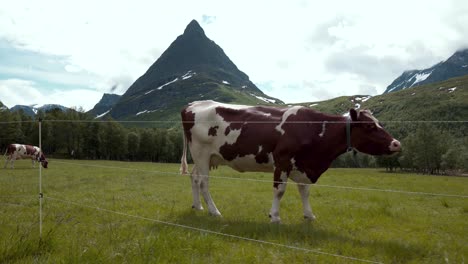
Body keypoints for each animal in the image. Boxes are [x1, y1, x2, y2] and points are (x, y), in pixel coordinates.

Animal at [181, 100, 400, 222]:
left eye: (378, 123)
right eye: (370, 126)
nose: (397, 143)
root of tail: (193, 104)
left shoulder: (303, 166)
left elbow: (305, 191)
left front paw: (309, 215)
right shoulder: (282, 160)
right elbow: (280, 190)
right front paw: (275, 216)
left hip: (206, 157)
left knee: (194, 178)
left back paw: (198, 207)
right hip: (201, 153)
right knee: (204, 182)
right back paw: (214, 211)